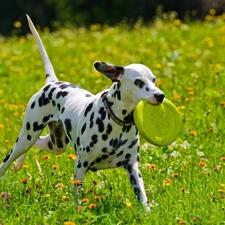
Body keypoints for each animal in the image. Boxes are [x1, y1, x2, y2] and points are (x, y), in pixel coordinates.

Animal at [0, 15, 165, 211]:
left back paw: (19, 163)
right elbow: (77, 195)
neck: (115, 123)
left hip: (55, 144)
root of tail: (52, 82)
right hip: (27, 136)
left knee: (38, 143)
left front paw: (147, 212)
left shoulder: (132, 167)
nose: (160, 95)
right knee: (9, 158)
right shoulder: (81, 165)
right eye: (138, 82)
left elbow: (142, 195)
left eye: (153, 79)